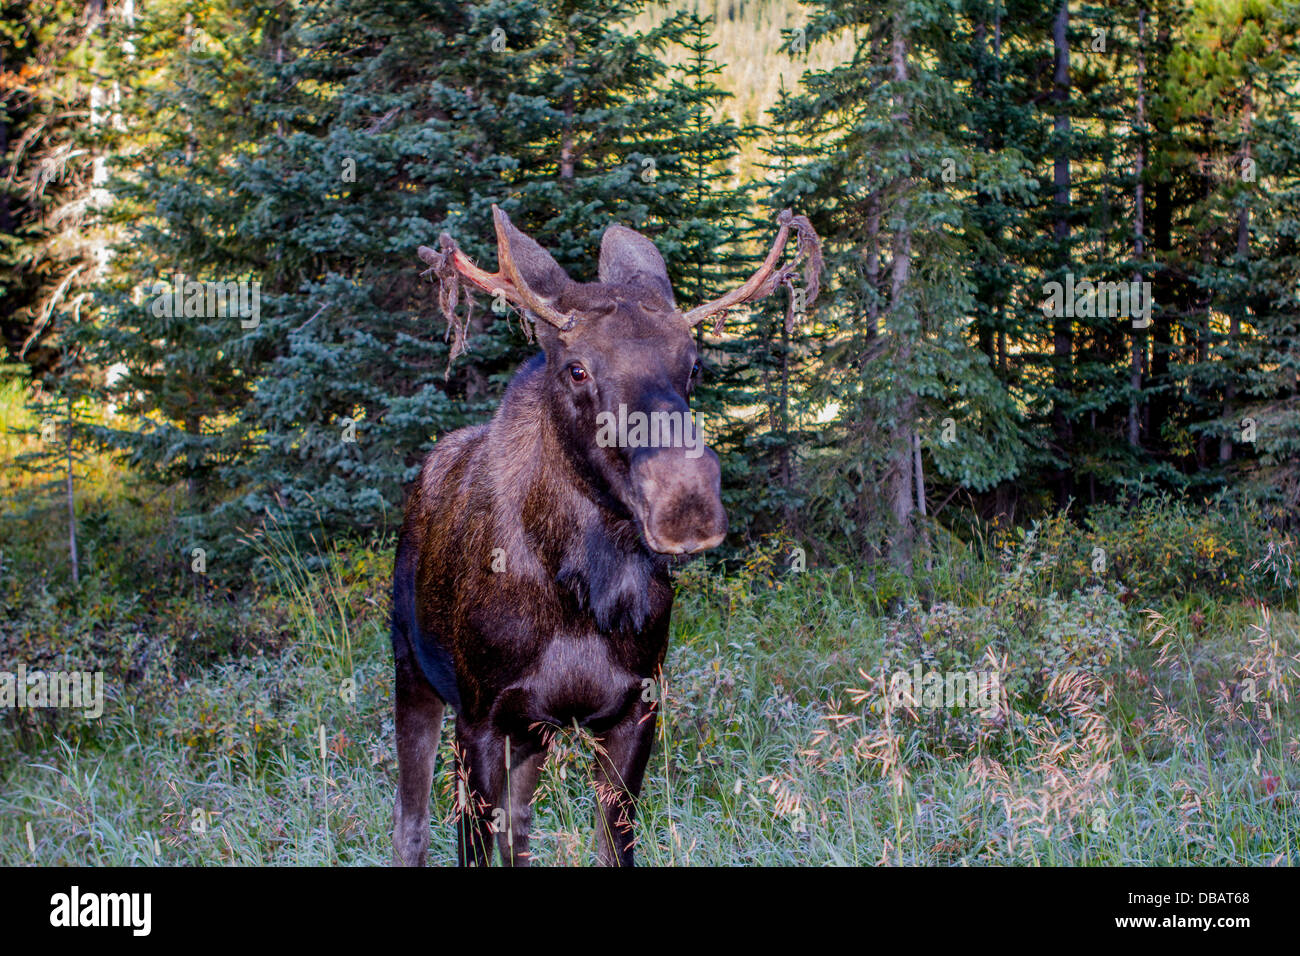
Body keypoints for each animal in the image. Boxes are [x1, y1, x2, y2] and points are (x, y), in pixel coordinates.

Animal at [390, 204, 821, 868]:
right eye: (577, 368)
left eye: (694, 365)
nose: (686, 502)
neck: (583, 596)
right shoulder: (479, 715)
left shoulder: (634, 708)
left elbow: (611, 847)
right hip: (412, 671)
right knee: (409, 826)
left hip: (533, 733)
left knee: (519, 831)